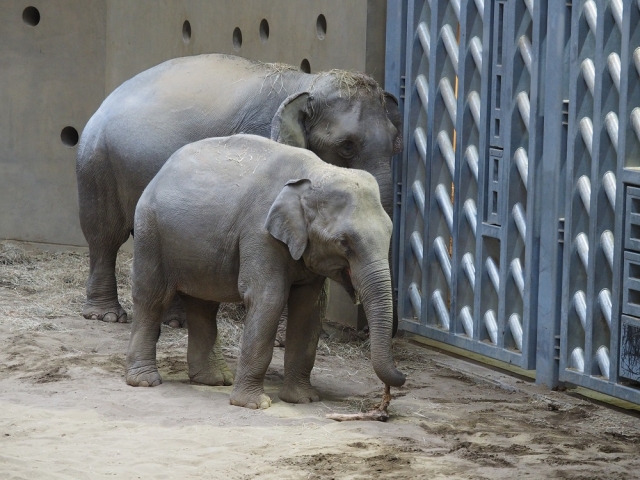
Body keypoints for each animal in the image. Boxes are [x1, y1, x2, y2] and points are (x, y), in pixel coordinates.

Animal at [77, 52, 402, 326]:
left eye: (396, 141)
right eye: (347, 145)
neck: (306, 82)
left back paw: (176, 321)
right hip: (97, 164)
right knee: (105, 235)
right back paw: (107, 316)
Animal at [125, 135, 404, 408]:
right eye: (344, 242)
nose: (400, 379)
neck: (314, 173)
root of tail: (162, 170)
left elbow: (309, 307)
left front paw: (304, 399)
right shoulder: (260, 234)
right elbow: (269, 298)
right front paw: (255, 404)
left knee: (202, 304)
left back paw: (214, 379)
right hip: (150, 231)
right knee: (152, 298)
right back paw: (145, 381)